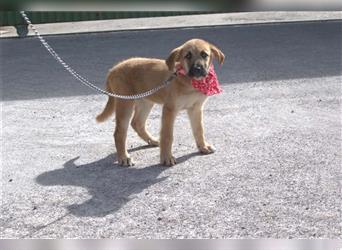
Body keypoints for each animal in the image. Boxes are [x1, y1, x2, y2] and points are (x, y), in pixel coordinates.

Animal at [95, 39, 224, 166]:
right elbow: (167, 136)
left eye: (204, 55)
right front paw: (167, 158)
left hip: (145, 102)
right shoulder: (169, 109)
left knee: (137, 123)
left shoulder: (196, 109)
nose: (197, 69)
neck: (189, 82)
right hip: (125, 103)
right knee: (119, 132)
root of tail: (113, 69)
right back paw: (124, 157)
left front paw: (203, 146)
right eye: (188, 56)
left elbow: (199, 129)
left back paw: (151, 140)